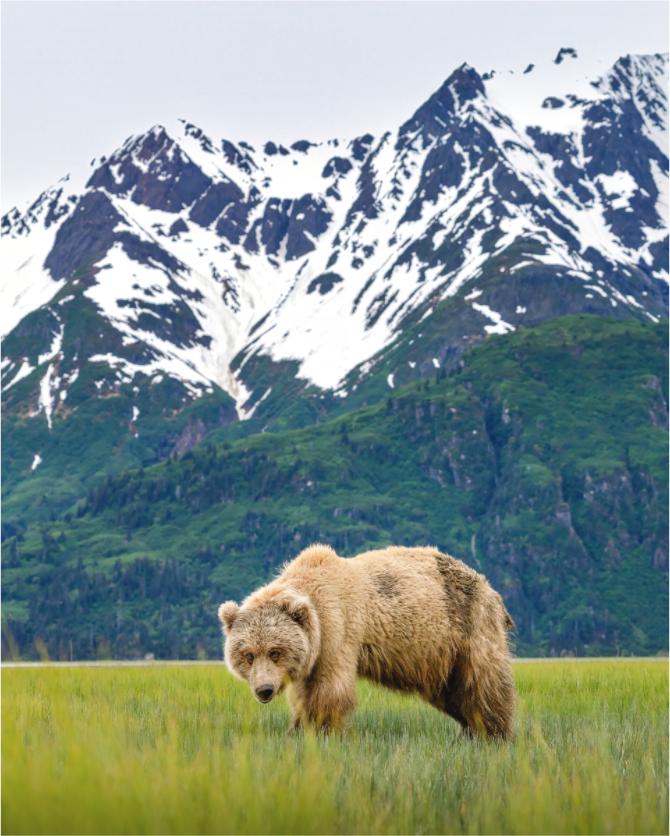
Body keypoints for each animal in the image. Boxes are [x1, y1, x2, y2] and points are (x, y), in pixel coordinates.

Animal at [218, 544, 516, 739]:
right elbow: (304, 695)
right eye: (248, 655)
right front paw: (296, 730)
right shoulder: (311, 654)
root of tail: (490, 588)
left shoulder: (337, 629)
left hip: (469, 625)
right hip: (439, 656)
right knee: (453, 693)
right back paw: (469, 730)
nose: (264, 690)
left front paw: (321, 730)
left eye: (275, 652)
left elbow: (330, 690)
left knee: (482, 683)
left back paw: (493, 733)